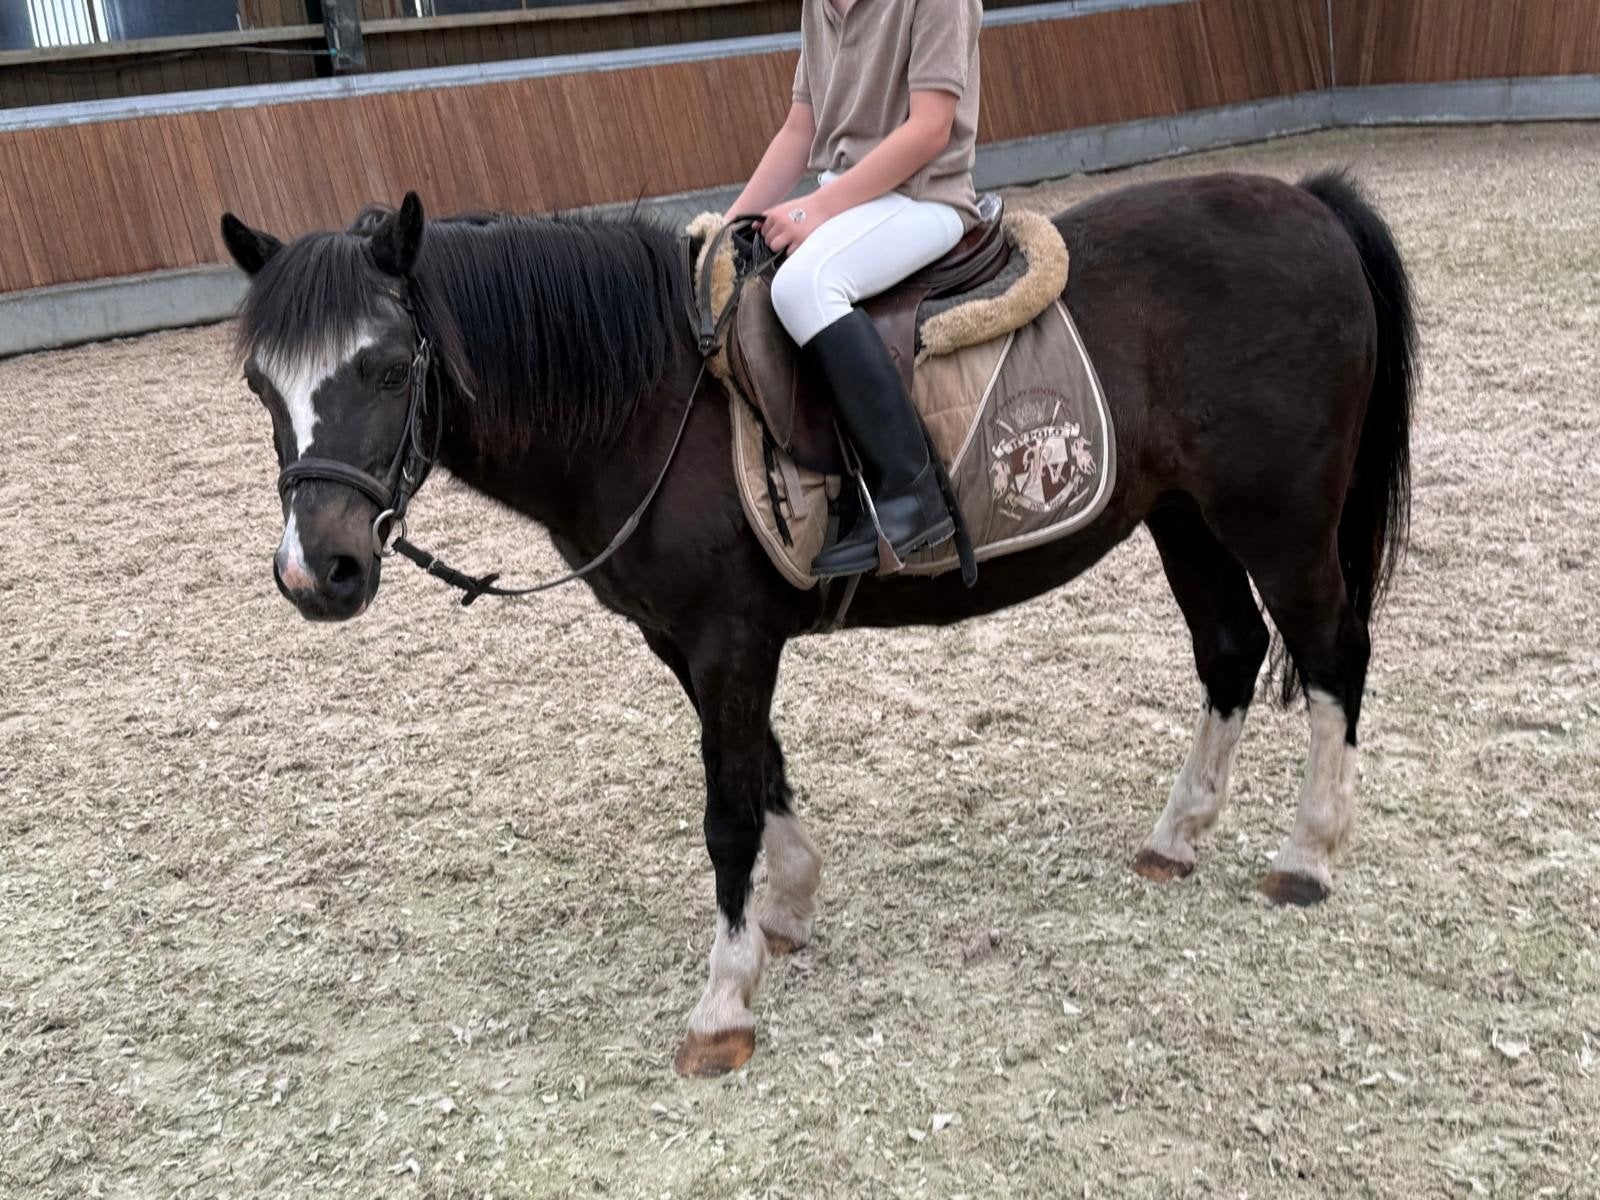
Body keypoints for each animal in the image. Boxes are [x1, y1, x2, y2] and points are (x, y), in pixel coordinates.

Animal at [219, 168, 1416, 1077]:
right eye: (260, 386)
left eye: (385, 367)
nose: (316, 571)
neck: (648, 402)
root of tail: (1303, 201)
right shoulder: (692, 642)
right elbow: (766, 775)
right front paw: (787, 910)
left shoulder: (728, 639)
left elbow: (726, 813)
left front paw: (722, 1002)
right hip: (1182, 515)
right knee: (1230, 652)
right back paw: (1177, 836)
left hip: (1276, 516)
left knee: (1330, 654)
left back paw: (1308, 853)